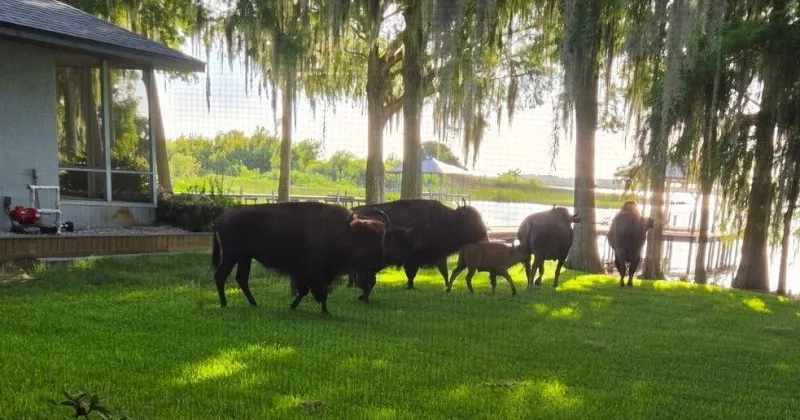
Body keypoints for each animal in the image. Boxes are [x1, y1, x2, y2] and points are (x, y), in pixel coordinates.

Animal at [211, 201, 401, 315]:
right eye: (362, 240)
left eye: (381, 238)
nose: (378, 263)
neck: (345, 231)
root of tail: (219, 218)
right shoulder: (314, 273)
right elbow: (315, 291)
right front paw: (323, 311)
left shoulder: (315, 274)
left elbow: (308, 291)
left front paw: (297, 306)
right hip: (232, 256)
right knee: (221, 276)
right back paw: (225, 304)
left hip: (244, 258)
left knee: (241, 278)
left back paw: (253, 303)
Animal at [347, 198, 489, 295]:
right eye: (470, 220)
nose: (485, 236)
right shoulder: (411, 260)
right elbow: (411, 274)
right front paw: (410, 286)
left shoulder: (439, 256)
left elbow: (445, 272)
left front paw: (448, 287)